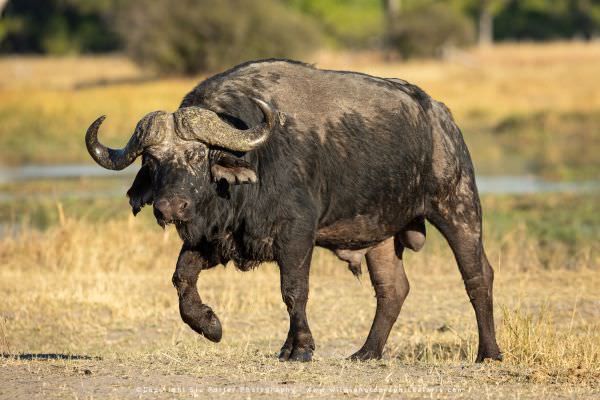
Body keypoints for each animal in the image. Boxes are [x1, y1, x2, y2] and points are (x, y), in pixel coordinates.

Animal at [84, 58, 502, 362]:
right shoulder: (213, 238)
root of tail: (441, 117)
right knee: (392, 288)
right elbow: (181, 280)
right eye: (152, 161)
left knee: (478, 275)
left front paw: (299, 348)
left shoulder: (297, 233)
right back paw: (366, 352)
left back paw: (488, 352)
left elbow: (293, 289)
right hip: (380, 233)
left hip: (459, 207)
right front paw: (211, 325)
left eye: (198, 154)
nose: (170, 207)